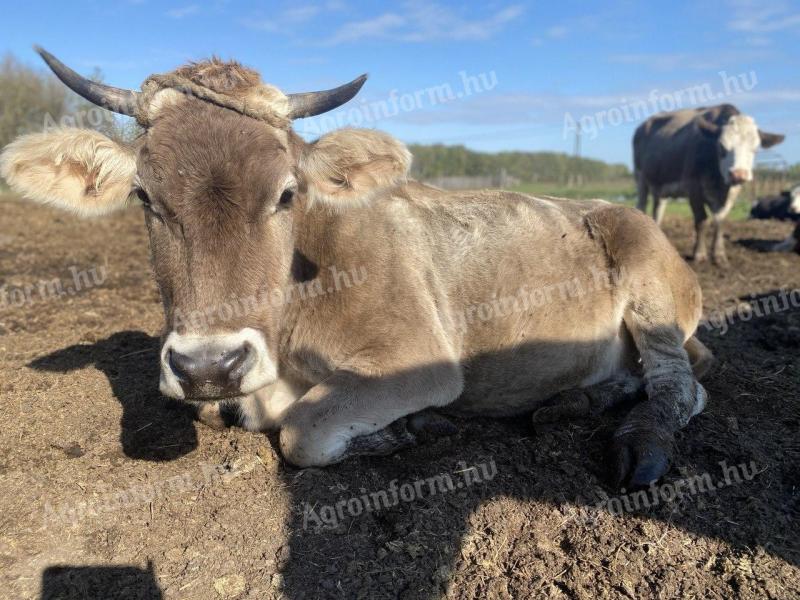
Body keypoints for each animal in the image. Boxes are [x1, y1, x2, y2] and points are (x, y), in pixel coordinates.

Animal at [0, 47, 712, 488]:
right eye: (146, 197)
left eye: (287, 192)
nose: (208, 367)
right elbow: (227, 412)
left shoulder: (417, 357)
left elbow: (302, 431)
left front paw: (408, 431)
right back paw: (576, 400)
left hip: (648, 269)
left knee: (681, 384)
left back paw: (639, 440)